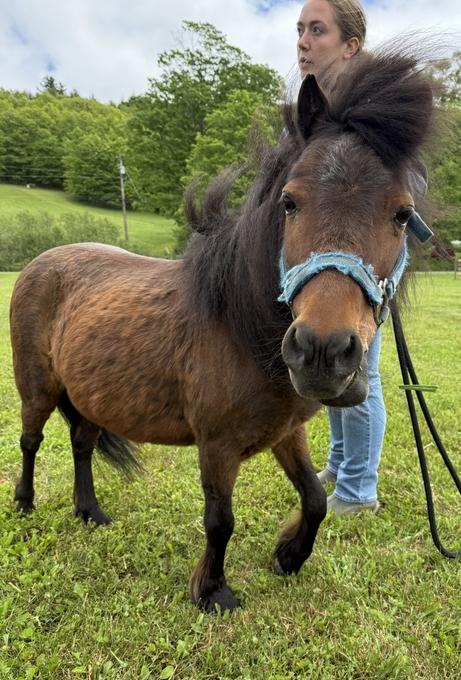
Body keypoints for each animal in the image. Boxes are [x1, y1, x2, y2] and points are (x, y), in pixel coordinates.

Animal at [9, 48, 434, 611]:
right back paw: (24, 503)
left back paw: (91, 511)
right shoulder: (216, 446)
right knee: (31, 441)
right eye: (290, 202)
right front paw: (213, 590)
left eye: (403, 214)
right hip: (37, 388)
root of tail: (40, 262)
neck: (238, 327)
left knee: (80, 443)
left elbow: (315, 498)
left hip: (90, 397)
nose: (322, 352)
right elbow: (220, 520)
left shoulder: (287, 431)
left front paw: (289, 556)